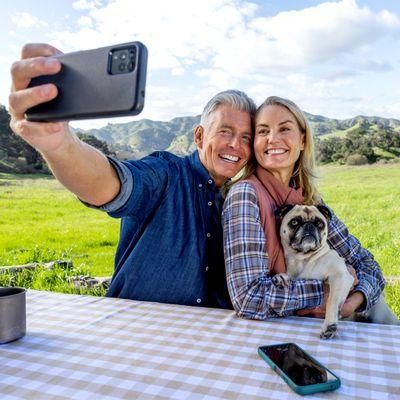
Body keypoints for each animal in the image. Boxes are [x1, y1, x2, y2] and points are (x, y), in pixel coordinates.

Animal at [272, 205, 396, 340]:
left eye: (320, 224)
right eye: (294, 222)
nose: (309, 225)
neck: (303, 258)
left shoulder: (340, 277)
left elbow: (331, 302)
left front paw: (329, 326)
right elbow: (290, 278)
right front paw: (282, 278)